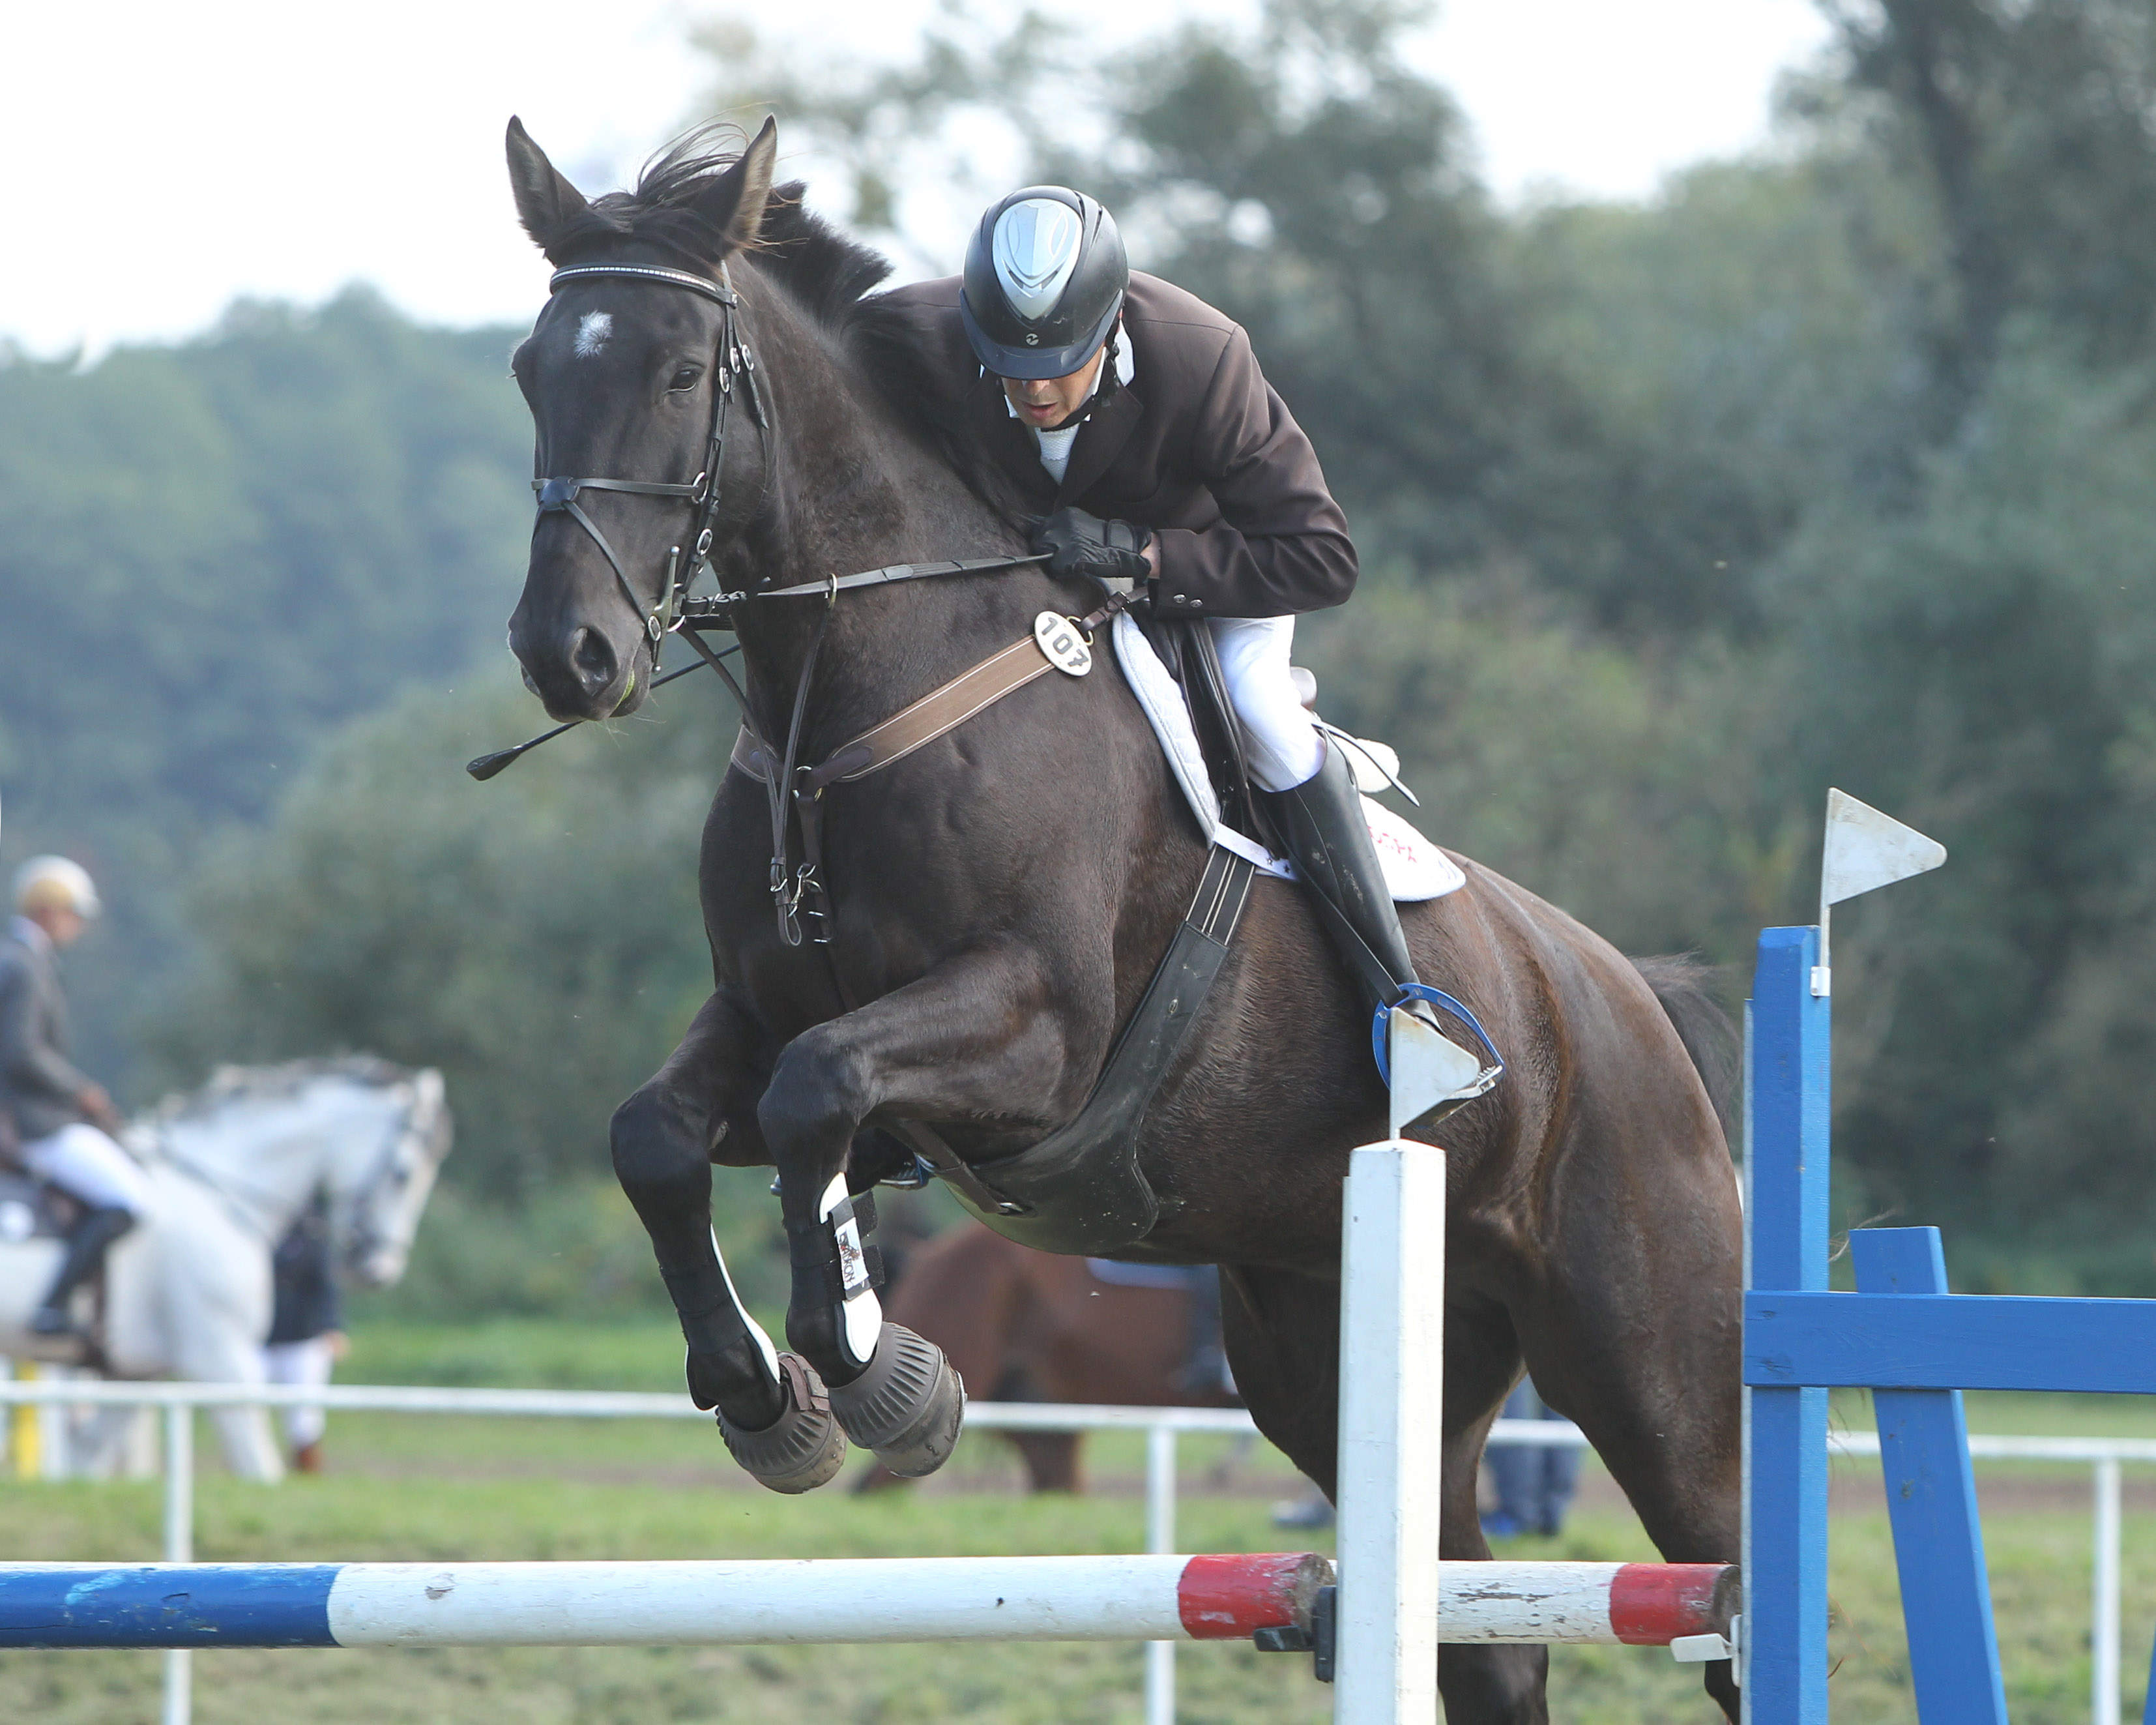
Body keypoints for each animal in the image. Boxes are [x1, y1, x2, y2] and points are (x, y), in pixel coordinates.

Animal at [0, 1056, 450, 1475]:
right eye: (403, 1174)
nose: (379, 1269)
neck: (217, 1196)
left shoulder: (132, 1372)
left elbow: (88, 1460)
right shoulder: (220, 1357)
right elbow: (259, 1467)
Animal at [504, 114, 1751, 1716]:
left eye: (674, 374)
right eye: (532, 371)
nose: (570, 655)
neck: (852, 694)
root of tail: (1626, 999)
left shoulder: (1031, 1036)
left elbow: (814, 1099)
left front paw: (881, 1377)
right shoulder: (759, 1014)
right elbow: (661, 1136)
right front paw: (768, 1401)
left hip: (1647, 1356)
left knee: (1723, 1578)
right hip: (1334, 1349)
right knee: (1478, 1629)